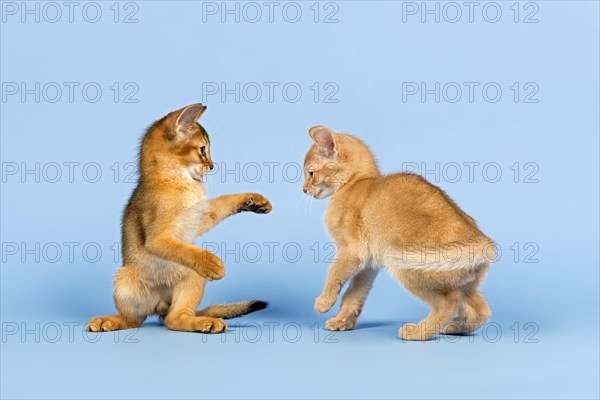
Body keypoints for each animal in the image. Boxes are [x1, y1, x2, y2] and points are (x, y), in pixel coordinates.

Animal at [304, 126, 496, 340]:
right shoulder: (369, 265)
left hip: (407, 263)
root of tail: (478, 237)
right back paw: (455, 327)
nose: (304, 190)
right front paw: (342, 321)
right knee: (480, 309)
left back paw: (419, 332)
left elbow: (334, 274)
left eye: (311, 173)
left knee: (448, 301)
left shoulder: (351, 251)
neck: (355, 183)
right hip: (464, 283)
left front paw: (324, 302)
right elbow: (354, 293)